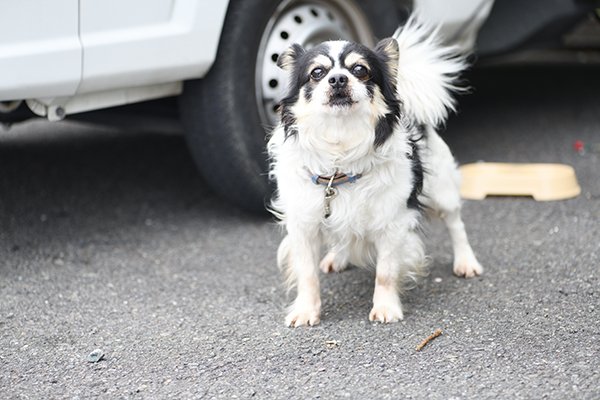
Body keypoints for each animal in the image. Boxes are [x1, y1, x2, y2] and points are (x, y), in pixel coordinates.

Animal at [268, 18, 482, 328]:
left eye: (360, 70)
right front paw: (307, 311)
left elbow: (386, 272)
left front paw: (385, 308)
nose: (338, 79)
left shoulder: (392, 223)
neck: (340, 153)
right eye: (317, 73)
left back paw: (466, 262)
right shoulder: (304, 224)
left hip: (443, 192)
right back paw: (337, 258)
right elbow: (307, 274)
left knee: (456, 224)